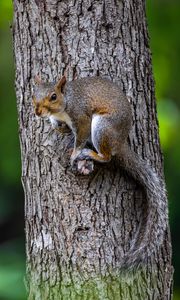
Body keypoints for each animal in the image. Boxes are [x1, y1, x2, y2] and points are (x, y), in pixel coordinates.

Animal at [32, 75, 167, 270]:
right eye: (33, 95)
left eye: (53, 96)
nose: (37, 112)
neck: (66, 102)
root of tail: (120, 143)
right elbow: (59, 126)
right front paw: (58, 126)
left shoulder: (81, 117)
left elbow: (80, 136)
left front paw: (75, 153)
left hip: (102, 127)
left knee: (107, 156)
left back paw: (91, 153)